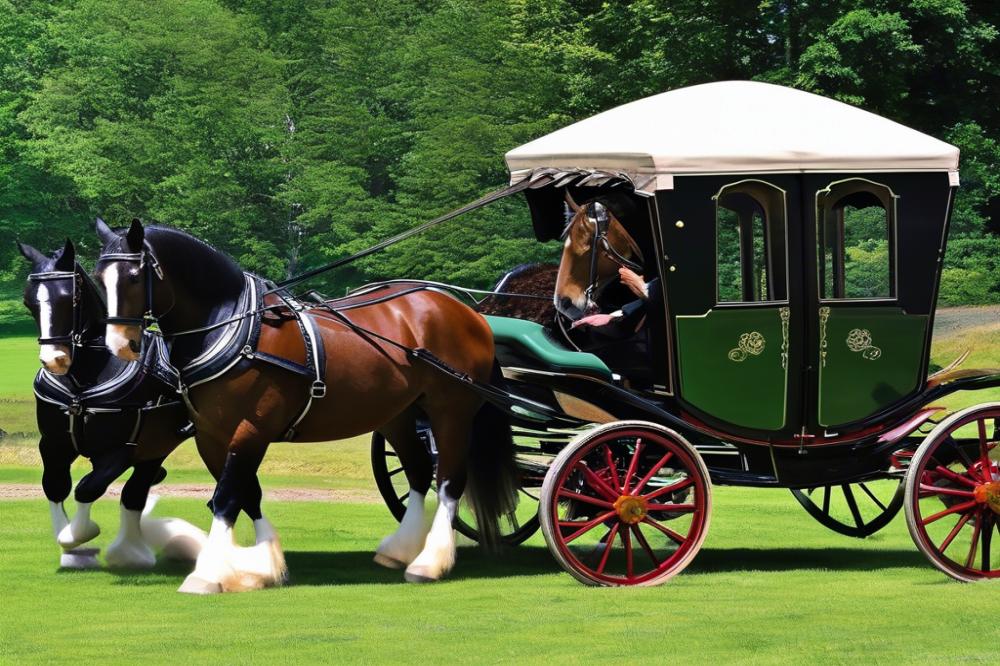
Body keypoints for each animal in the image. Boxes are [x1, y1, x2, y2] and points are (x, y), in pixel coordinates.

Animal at [17, 237, 205, 564]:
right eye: (30, 302)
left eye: (69, 298)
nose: (54, 360)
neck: (83, 382)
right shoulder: (53, 443)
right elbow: (55, 486)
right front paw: (69, 547)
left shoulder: (126, 447)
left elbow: (87, 488)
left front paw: (79, 534)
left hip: (157, 443)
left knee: (134, 492)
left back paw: (132, 549)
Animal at [93, 218, 516, 592]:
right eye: (99, 279)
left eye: (134, 277)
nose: (120, 344)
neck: (236, 327)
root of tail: (465, 311)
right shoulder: (210, 435)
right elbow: (247, 494)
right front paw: (263, 566)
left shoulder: (251, 429)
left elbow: (227, 499)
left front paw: (209, 574)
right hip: (398, 414)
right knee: (417, 471)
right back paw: (401, 550)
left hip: (451, 412)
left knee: (448, 480)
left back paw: (429, 562)